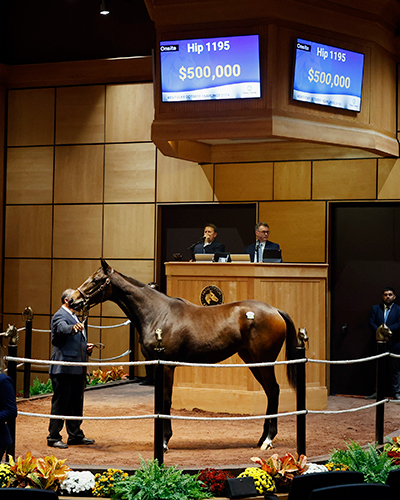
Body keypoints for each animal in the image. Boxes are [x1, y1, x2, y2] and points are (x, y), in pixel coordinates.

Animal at [69, 260, 298, 452]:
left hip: (264, 361)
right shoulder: (158, 366)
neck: (158, 314)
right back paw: (262, 438)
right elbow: (160, 401)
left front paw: (163, 441)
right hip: (252, 361)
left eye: (96, 280)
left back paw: (268, 439)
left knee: (274, 391)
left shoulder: (167, 366)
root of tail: (275, 310)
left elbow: (166, 400)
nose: (72, 299)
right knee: (270, 392)